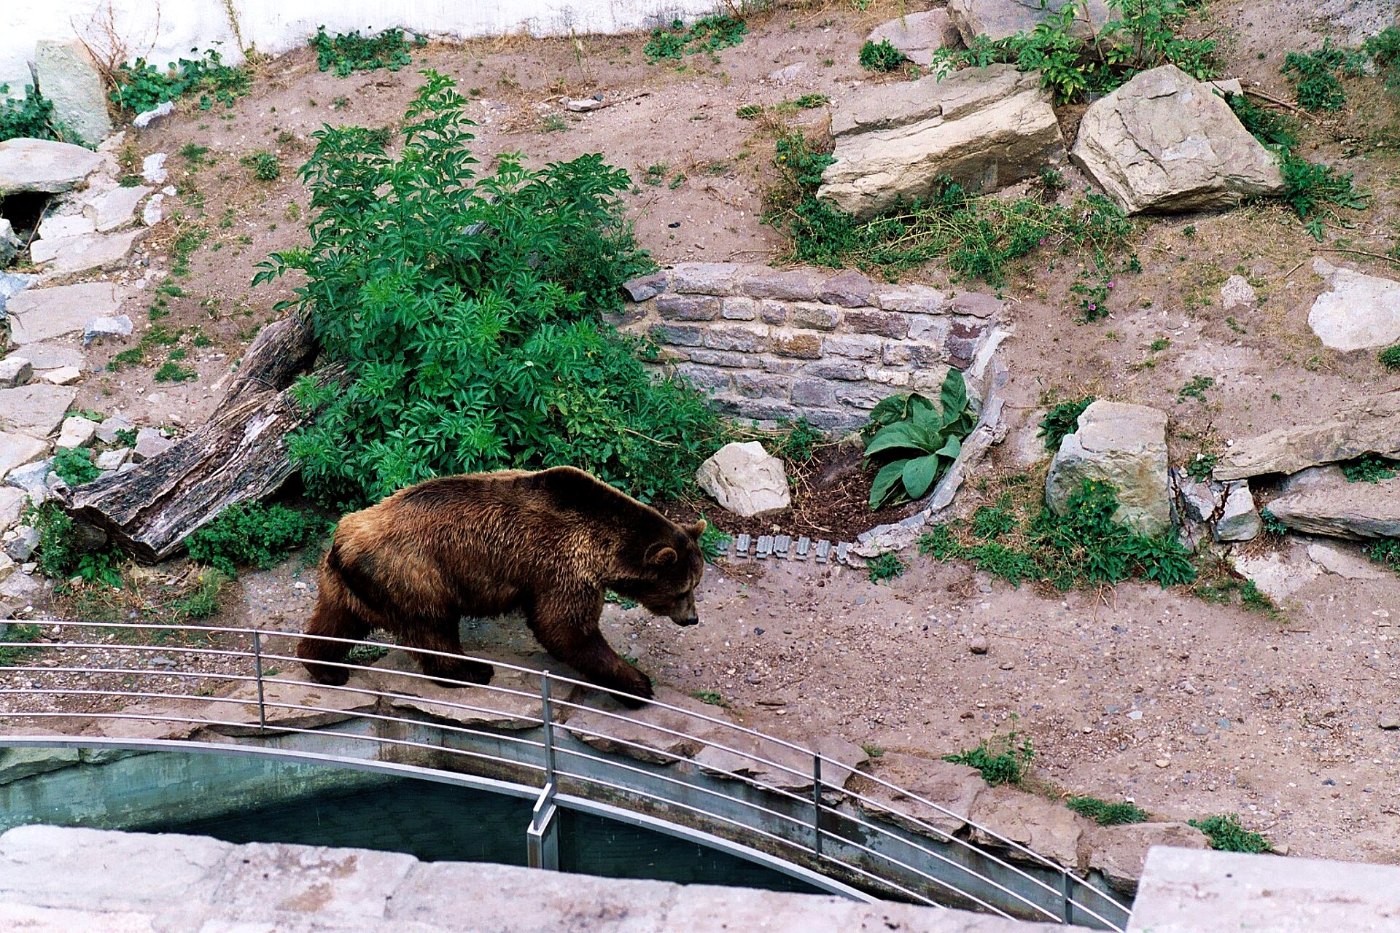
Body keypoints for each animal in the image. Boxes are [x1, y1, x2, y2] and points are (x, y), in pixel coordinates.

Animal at [296, 466, 707, 707]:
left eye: (696, 583)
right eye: (682, 590)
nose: (692, 619)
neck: (604, 544)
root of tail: (344, 541)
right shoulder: (563, 566)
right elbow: (566, 629)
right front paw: (638, 684)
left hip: (344, 583)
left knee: (336, 622)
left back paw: (326, 668)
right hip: (415, 571)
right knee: (432, 627)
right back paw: (472, 671)